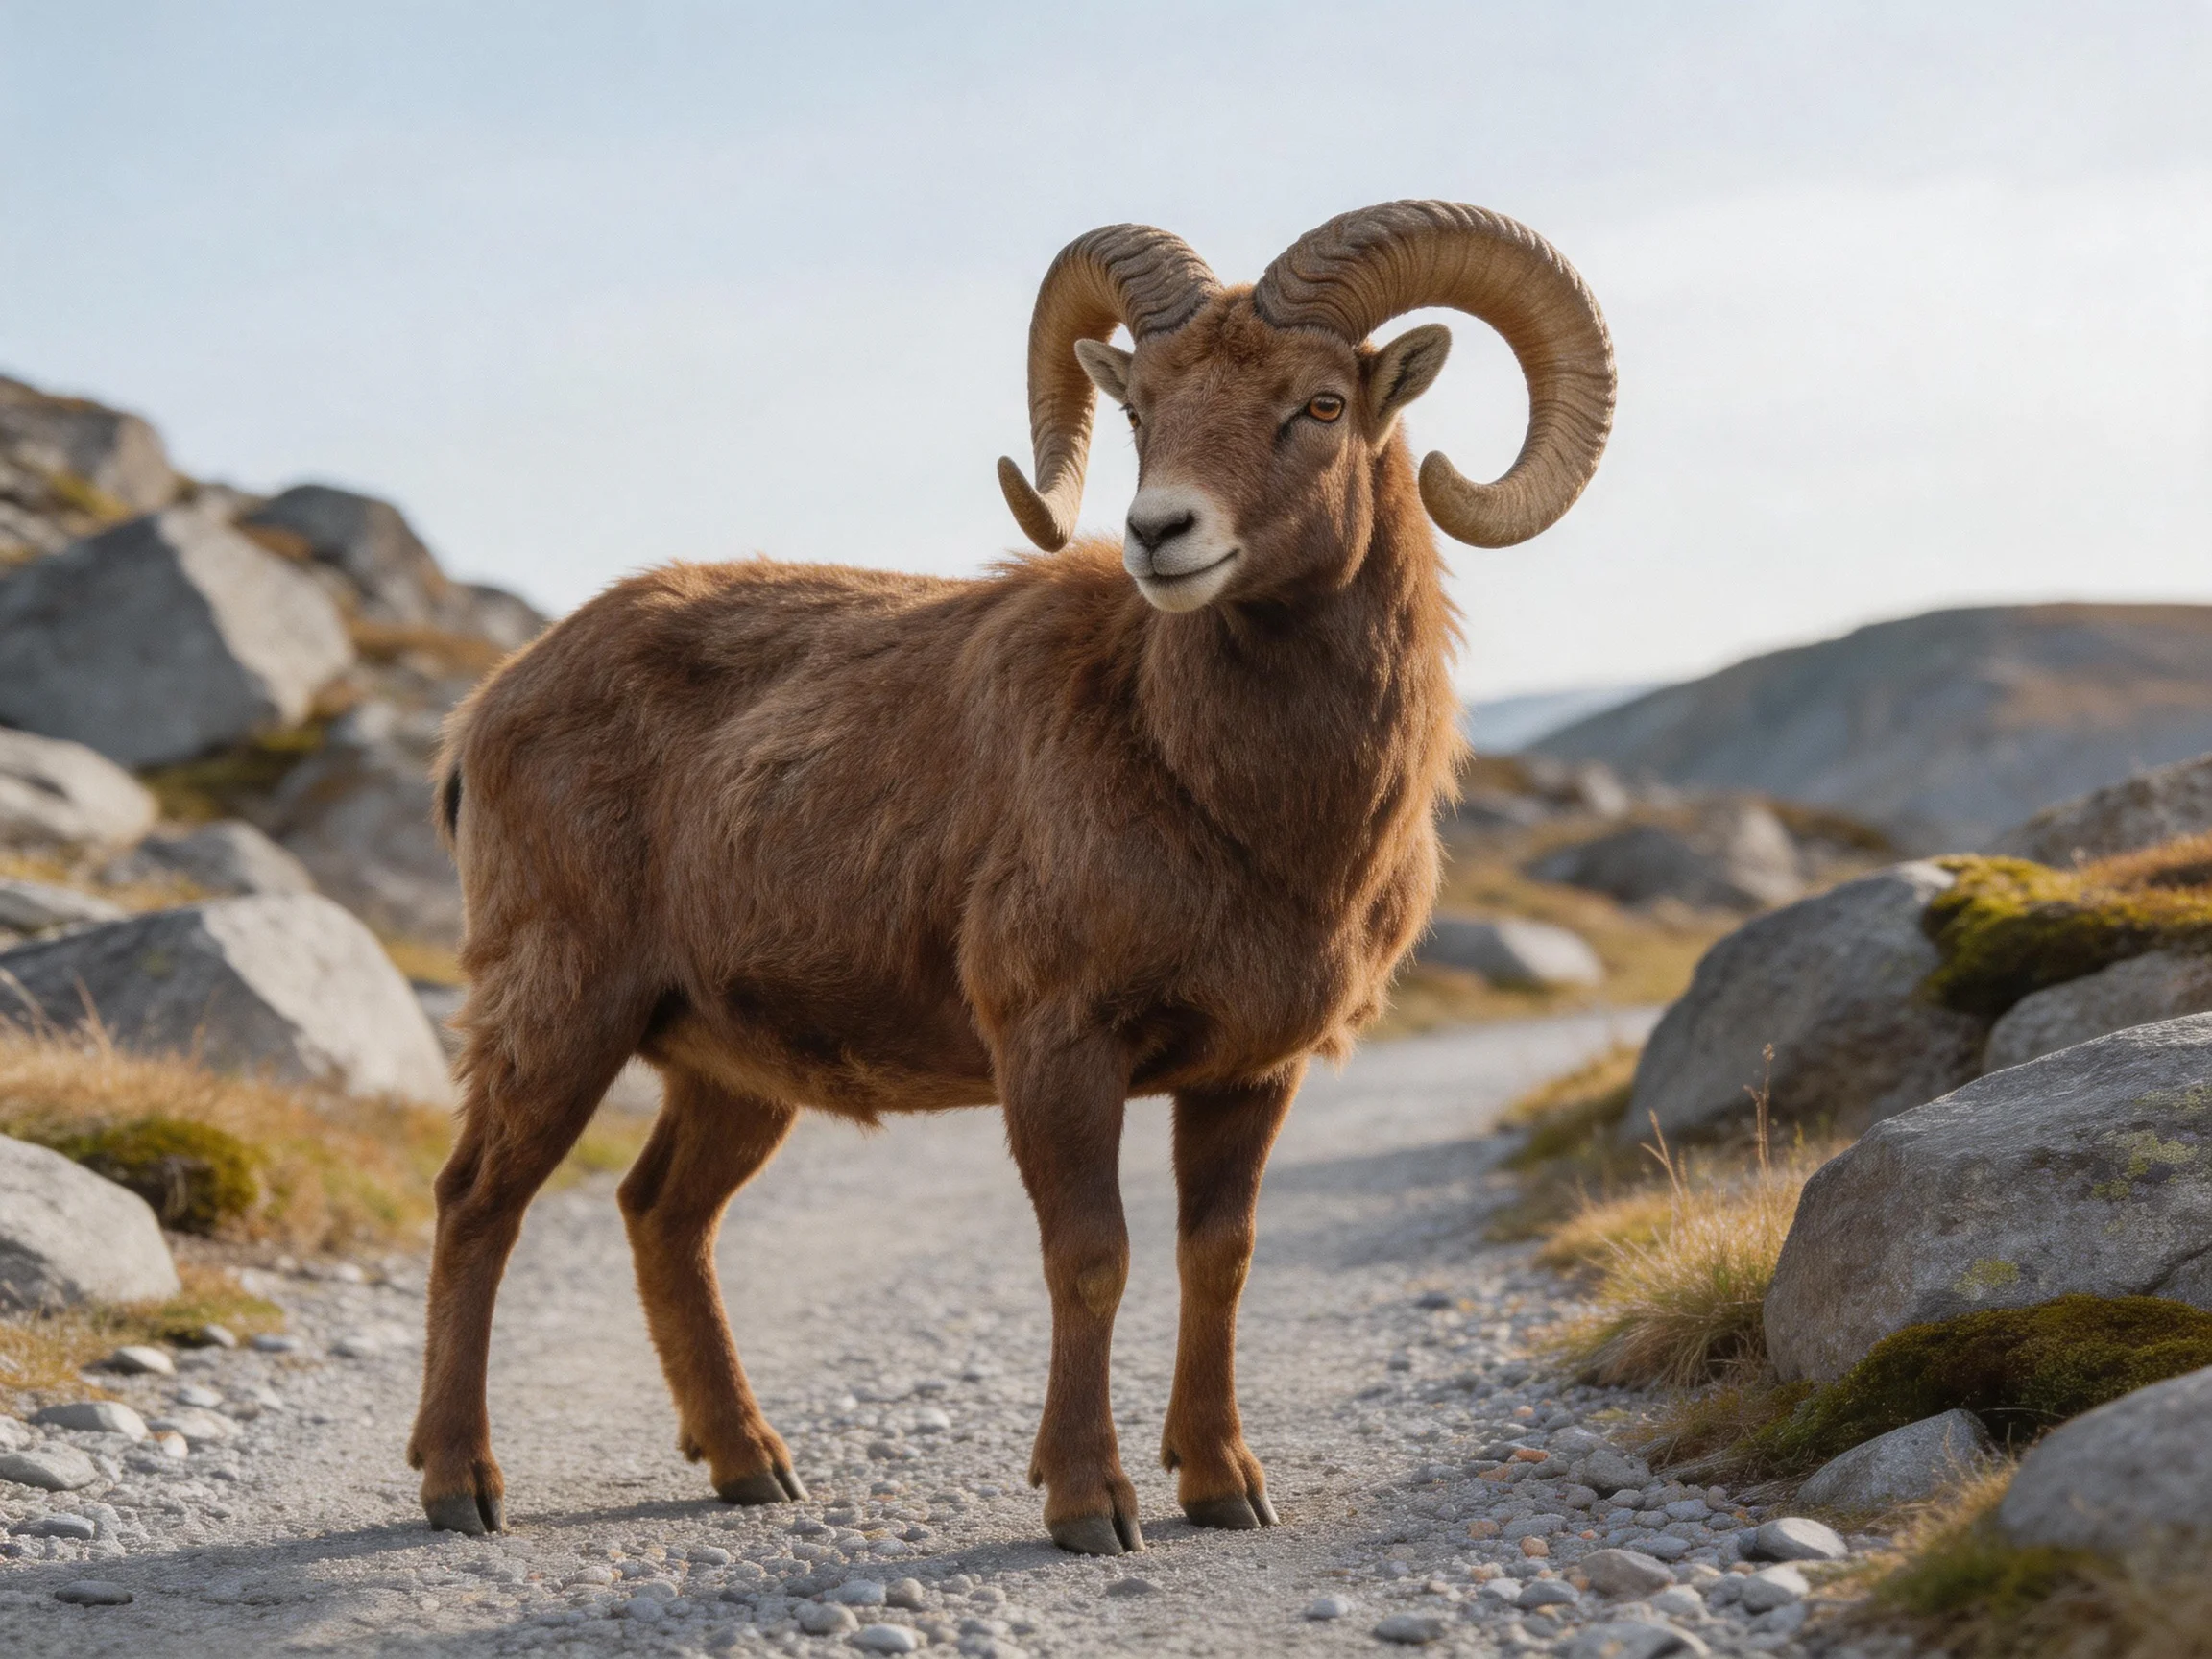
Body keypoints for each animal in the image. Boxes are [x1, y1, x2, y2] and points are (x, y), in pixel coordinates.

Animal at [407, 200, 1614, 1555]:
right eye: (1143, 405)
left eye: (1318, 404)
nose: (1161, 534)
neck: (1227, 799)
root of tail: (488, 712)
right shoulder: (1057, 1045)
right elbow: (1092, 1258)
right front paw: (1091, 1505)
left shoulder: (1252, 1074)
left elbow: (1218, 1258)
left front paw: (1223, 1488)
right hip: (562, 1015)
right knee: (476, 1203)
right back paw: (462, 1487)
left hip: (730, 1076)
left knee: (664, 1215)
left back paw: (751, 1465)